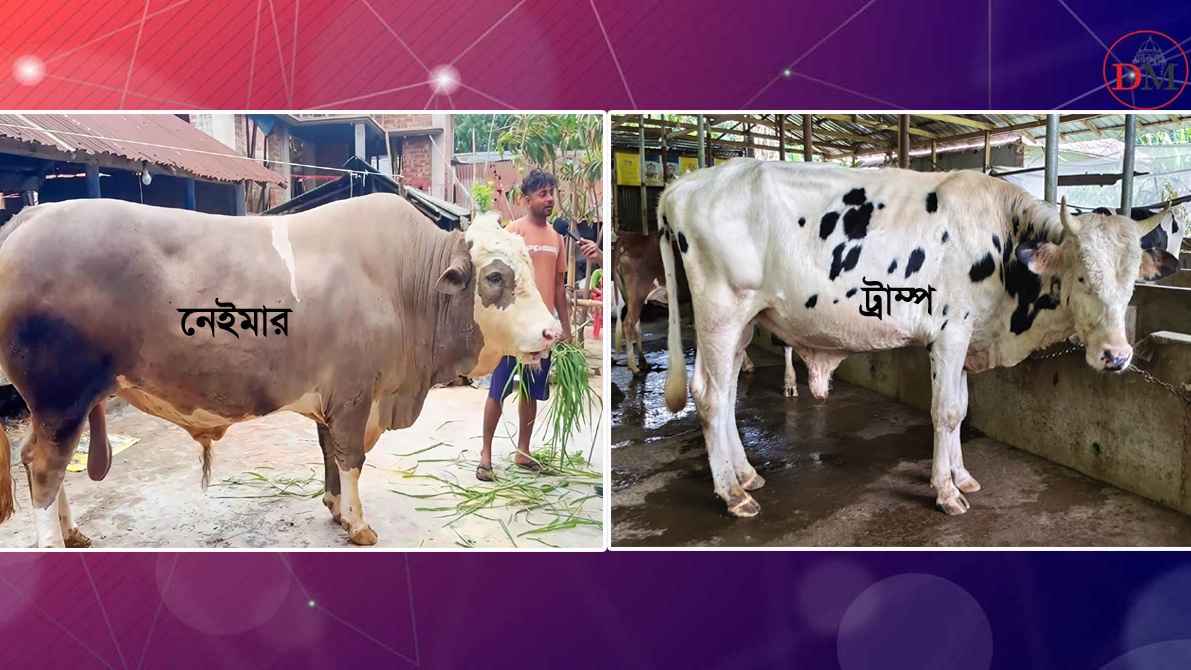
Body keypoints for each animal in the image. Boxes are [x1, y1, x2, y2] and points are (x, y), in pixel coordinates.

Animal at [0, 194, 561, 547]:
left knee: (42, 465)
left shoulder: (333, 400)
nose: (553, 331)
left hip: (57, 407)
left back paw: (71, 532)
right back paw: (53, 541)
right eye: (495, 276)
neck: (405, 283)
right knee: (44, 468)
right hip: (61, 399)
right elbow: (352, 458)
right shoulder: (356, 396)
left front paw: (336, 510)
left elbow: (331, 455)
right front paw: (359, 526)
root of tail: (33, 214)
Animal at [657, 158, 1179, 518]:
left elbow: (962, 408)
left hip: (745, 321)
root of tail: (685, 186)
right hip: (721, 313)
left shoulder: (969, 337)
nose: (1116, 355)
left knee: (726, 395)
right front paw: (945, 492)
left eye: (1132, 280)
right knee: (710, 395)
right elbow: (945, 412)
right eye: (1083, 276)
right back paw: (732, 494)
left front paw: (963, 477)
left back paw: (746, 475)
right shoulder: (950, 332)